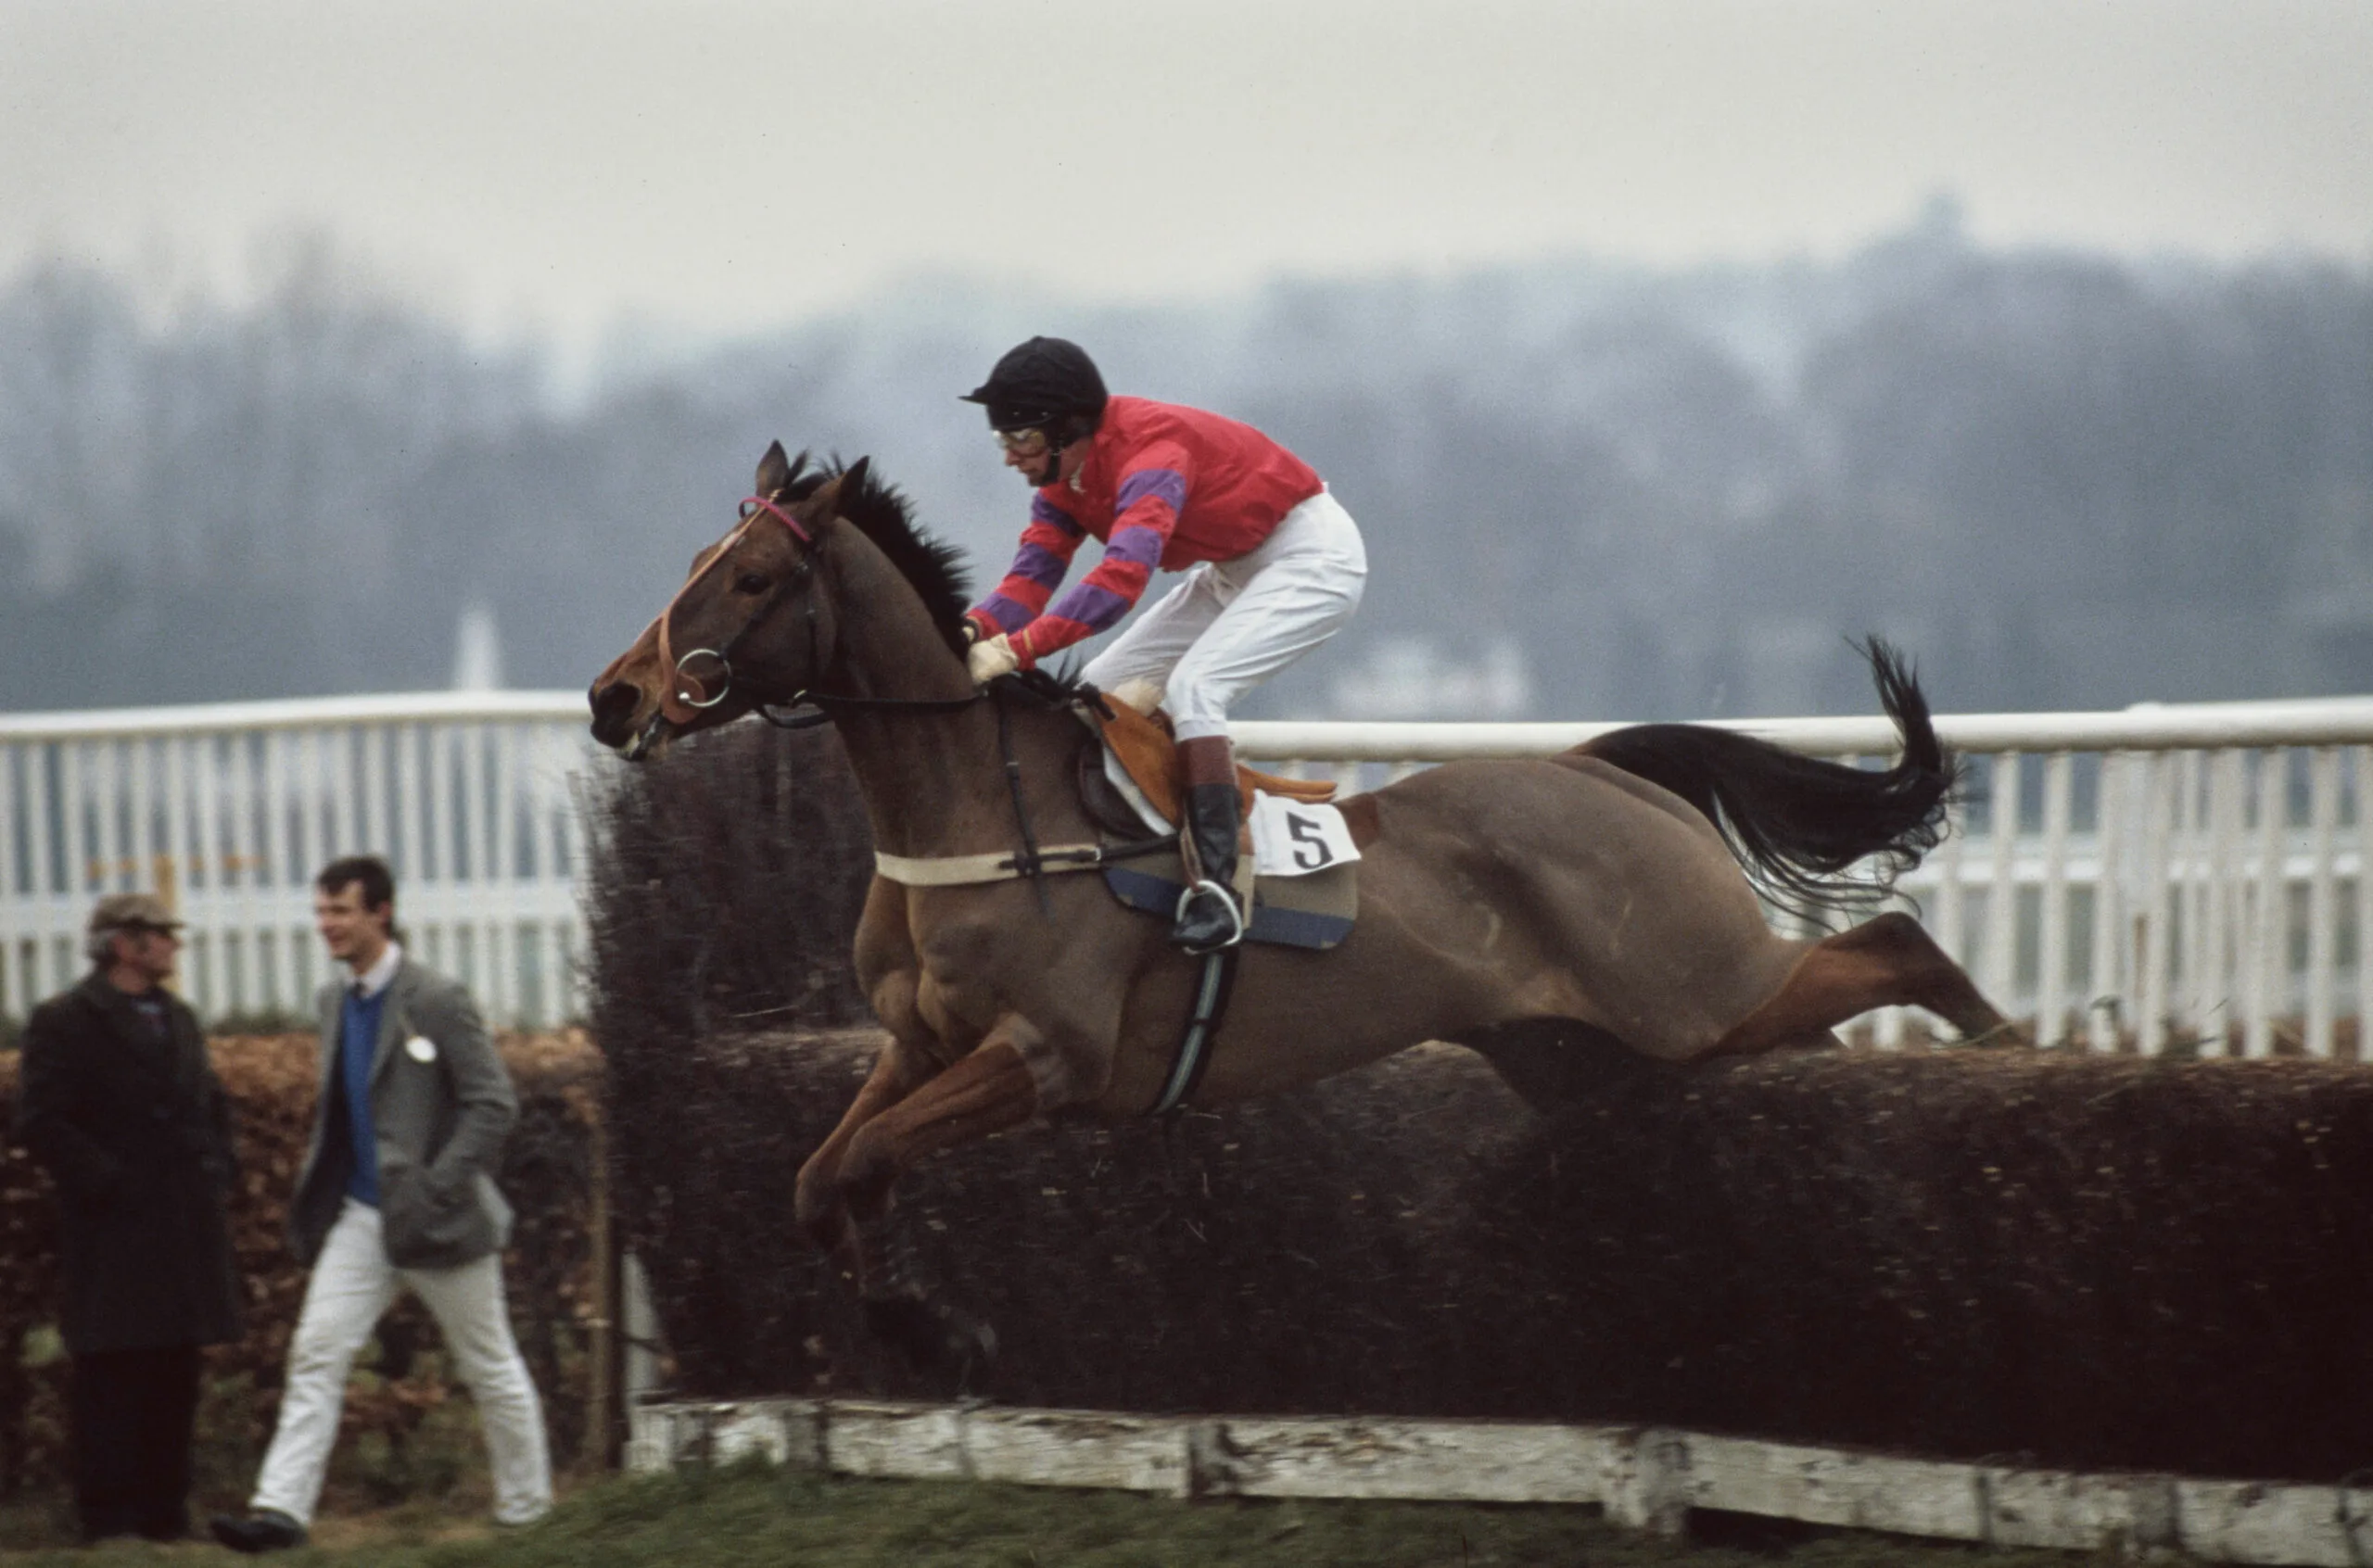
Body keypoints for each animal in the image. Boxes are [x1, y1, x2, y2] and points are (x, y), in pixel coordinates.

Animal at [588, 443, 2002, 1366]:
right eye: (699, 560)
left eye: (753, 578)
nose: (615, 697)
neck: (976, 812)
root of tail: (1601, 770)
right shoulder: (922, 1044)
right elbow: (824, 1177)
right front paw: (914, 1323)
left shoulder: (1047, 1058)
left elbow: (871, 1158)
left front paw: (937, 1329)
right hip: (1599, 1051)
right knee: (1815, 1041)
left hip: (1687, 990)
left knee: (1893, 940)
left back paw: (1996, 1050)